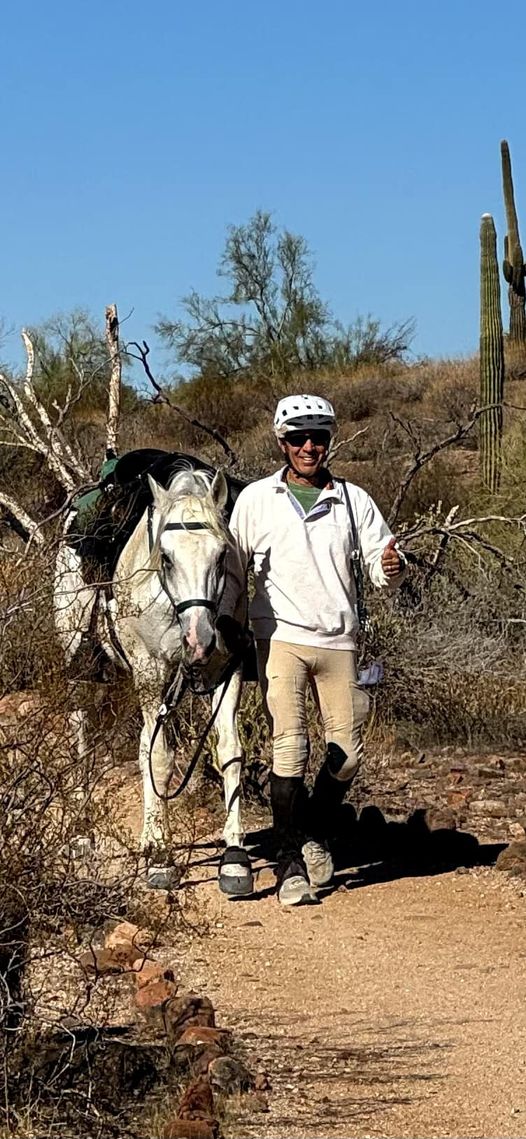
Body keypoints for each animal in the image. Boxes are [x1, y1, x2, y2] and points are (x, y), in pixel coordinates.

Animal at [54, 466, 251, 892]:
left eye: (222, 554)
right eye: (166, 557)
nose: (199, 638)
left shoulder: (227, 671)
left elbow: (229, 751)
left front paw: (234, 857)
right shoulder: (150, 670)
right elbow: (160, 756)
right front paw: (162, 858)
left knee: (143, 741)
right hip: (82, 664)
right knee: (84, 739)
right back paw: (83, 830)